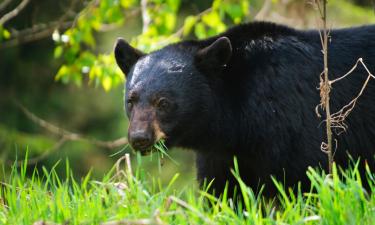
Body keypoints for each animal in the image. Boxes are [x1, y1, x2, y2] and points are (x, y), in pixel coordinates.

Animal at [114, 21, 375, 197]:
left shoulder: (296, 123)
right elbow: (223, 189)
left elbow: (306, 179)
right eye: (131, 100)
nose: (139, 138)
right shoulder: (220, 152)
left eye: (163, 102)